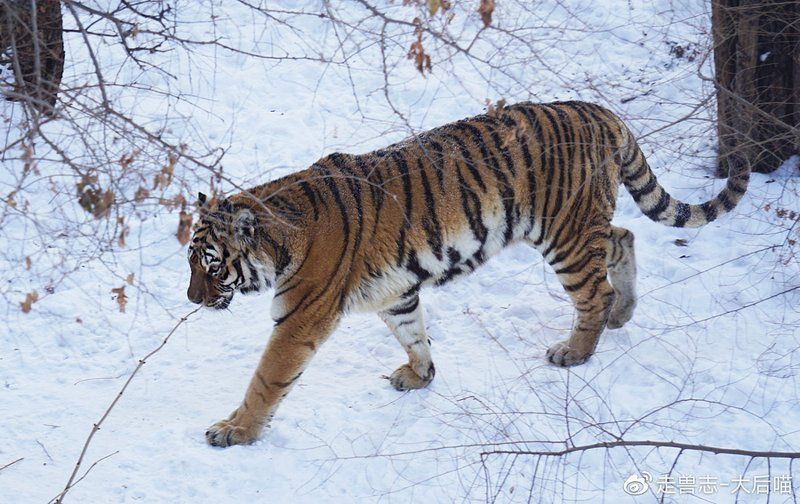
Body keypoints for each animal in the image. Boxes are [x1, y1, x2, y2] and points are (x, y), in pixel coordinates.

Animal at [186, 101, 749, 447]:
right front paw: (420, 375)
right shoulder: (395, 292)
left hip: (564, 235)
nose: (191, 299)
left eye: (210, 262)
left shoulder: (300, 318)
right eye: (189, 261)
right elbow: (413, 333)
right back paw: (625, 315)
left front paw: (234, 431)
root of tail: (600, 110)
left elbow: (266, 379)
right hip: (580, 226)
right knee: (623, 238)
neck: (280, 240)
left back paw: (575, 350)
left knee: (595, 293)